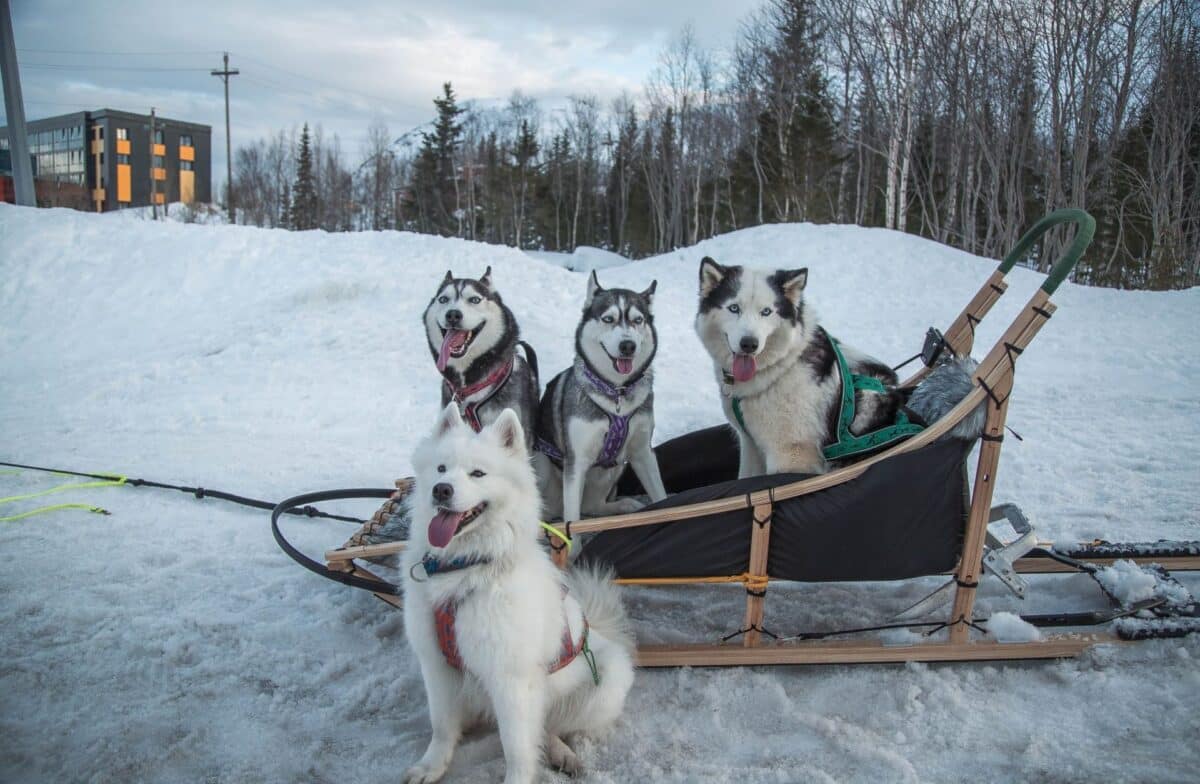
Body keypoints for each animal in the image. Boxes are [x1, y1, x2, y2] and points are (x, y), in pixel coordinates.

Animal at [400, 403, 633, 782]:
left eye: (478, 473)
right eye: (441, 468)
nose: (441, 490)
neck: (465, 569)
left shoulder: (511, 679)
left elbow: (517, 748)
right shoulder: (436, 664)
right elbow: (442, 725)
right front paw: (431, 767)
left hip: (605, 682)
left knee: (549, 729)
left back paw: (564, 754)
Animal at [532, 272, 667, 523]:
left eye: (638, 320)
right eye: (608, 319)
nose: (627, 345)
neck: (616, 393)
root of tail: (553, 511)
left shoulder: (643, 452)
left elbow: (661, 495)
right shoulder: (576, 463)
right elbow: (572, 521)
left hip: (616, 468)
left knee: (592, 506)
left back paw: (623, 505)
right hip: (542, 463)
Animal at [696, 256, 902, 477]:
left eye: (766, 312)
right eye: (734, 308)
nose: (749, 344)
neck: (782, 366)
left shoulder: (789, 456)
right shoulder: (750, 444)